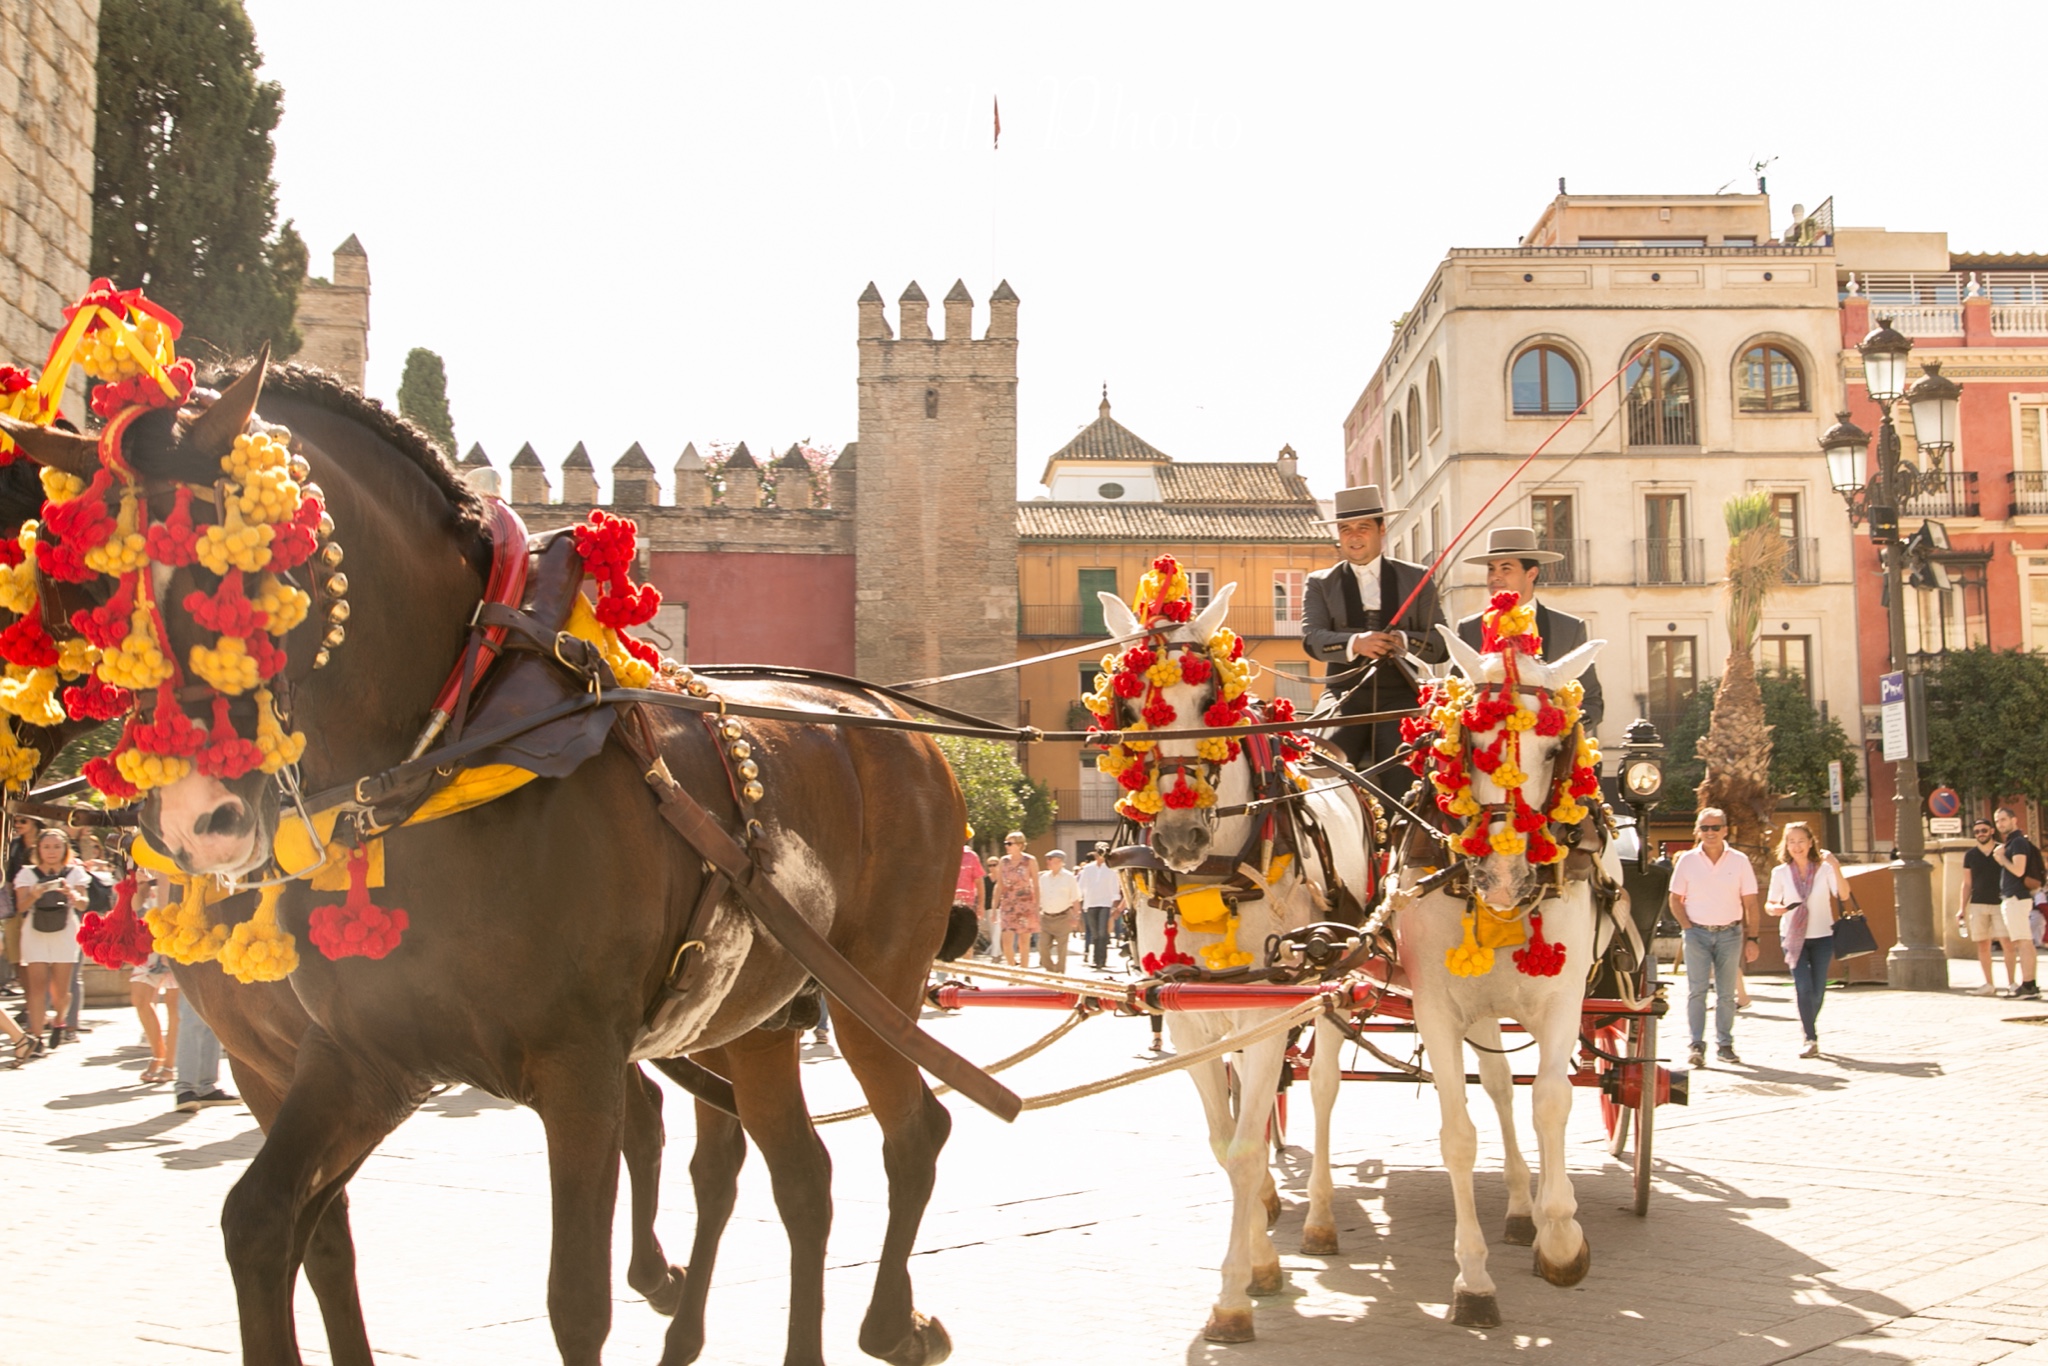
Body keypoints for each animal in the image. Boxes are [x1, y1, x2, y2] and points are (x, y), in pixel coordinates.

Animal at [8, 366, 966, 1366]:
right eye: (93, 591)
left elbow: (575, 1300)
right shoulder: (358, 1057)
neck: (458, 739)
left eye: (247, 568)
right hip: (756, 1017)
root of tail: (894, 721)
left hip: (877, 991)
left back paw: (891, 1319)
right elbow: (273, 1224)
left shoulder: (579, 1068)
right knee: (800, 1174)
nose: (199, 818)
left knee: (913, 1132)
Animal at [1097, 581, 1368, 1343]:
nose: (1179, 835)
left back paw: (1319, 1218)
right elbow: (1226, 1143)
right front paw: (1259, 1260)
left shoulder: (1270, 1005)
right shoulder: (1189, 1016)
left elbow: (1247, 1148)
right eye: (1128, 710)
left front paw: (1234, 1297)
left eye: (1211, 696)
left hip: (1332, 979)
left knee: (1325, 1091)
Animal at [1400, 626, 1622, 1327]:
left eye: (1555, 747)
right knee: (1498, 1087)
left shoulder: (1562, 1001)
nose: (1502, 876)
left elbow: (1551, 1102)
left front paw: (1562, 1238)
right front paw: (1473, 1279)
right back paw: (1522, 1206)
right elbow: (1459, 1135)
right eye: (1471, 742)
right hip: (1480, 1012)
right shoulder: (1437, 1009)